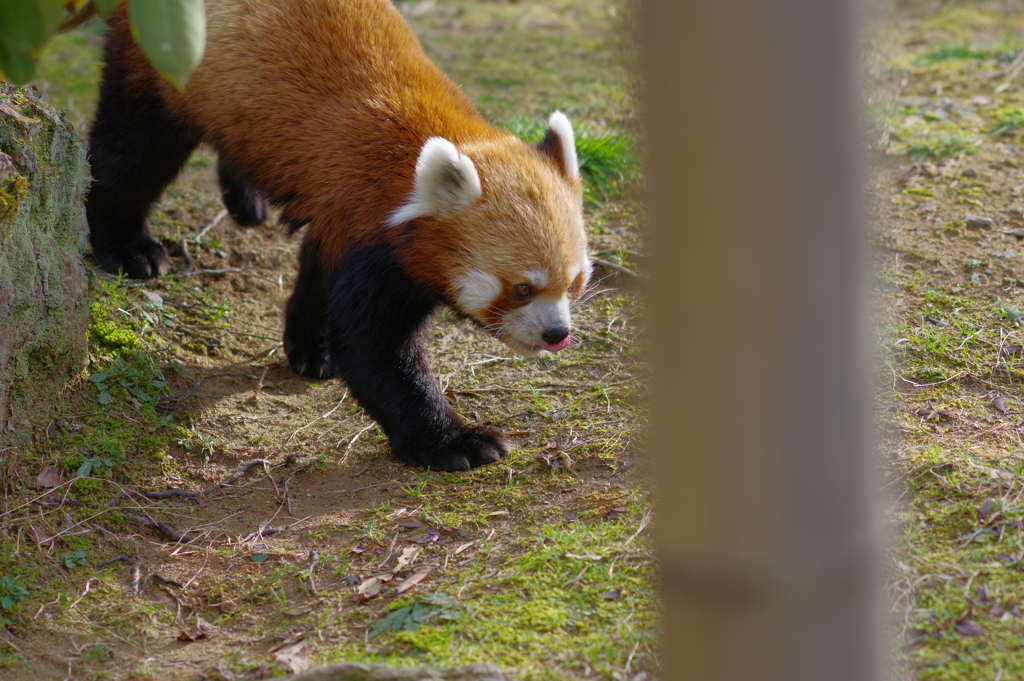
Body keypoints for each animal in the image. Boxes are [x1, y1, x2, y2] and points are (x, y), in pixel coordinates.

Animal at [88, 0, 593, 471]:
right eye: (522, 288)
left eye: (574, 284)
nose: (557, 333)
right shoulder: (368, 227)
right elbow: (375, 351)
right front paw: (451, 441)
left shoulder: (340, 220)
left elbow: (318, 276)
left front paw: (310, 345)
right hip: (163, 61)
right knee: (133, 150)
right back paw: (125, 245)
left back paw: (246, 196)